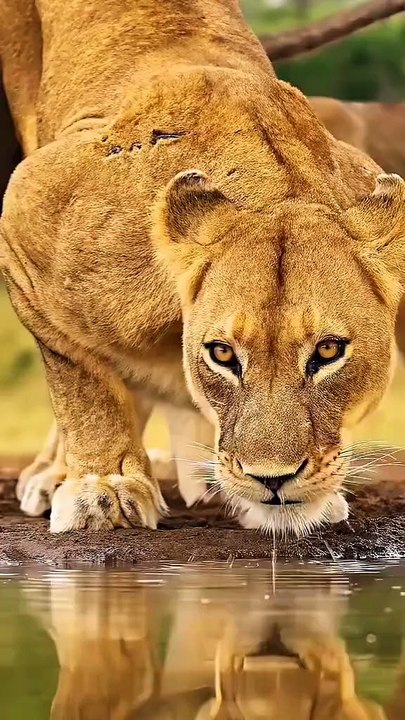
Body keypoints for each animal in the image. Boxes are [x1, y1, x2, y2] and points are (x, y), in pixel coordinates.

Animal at [1, 0, 405, 536]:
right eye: (222, 354)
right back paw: (54, 475)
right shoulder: (24, 216)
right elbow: (83, 379)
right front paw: (103, 488)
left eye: (328, 350)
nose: (272, 479)